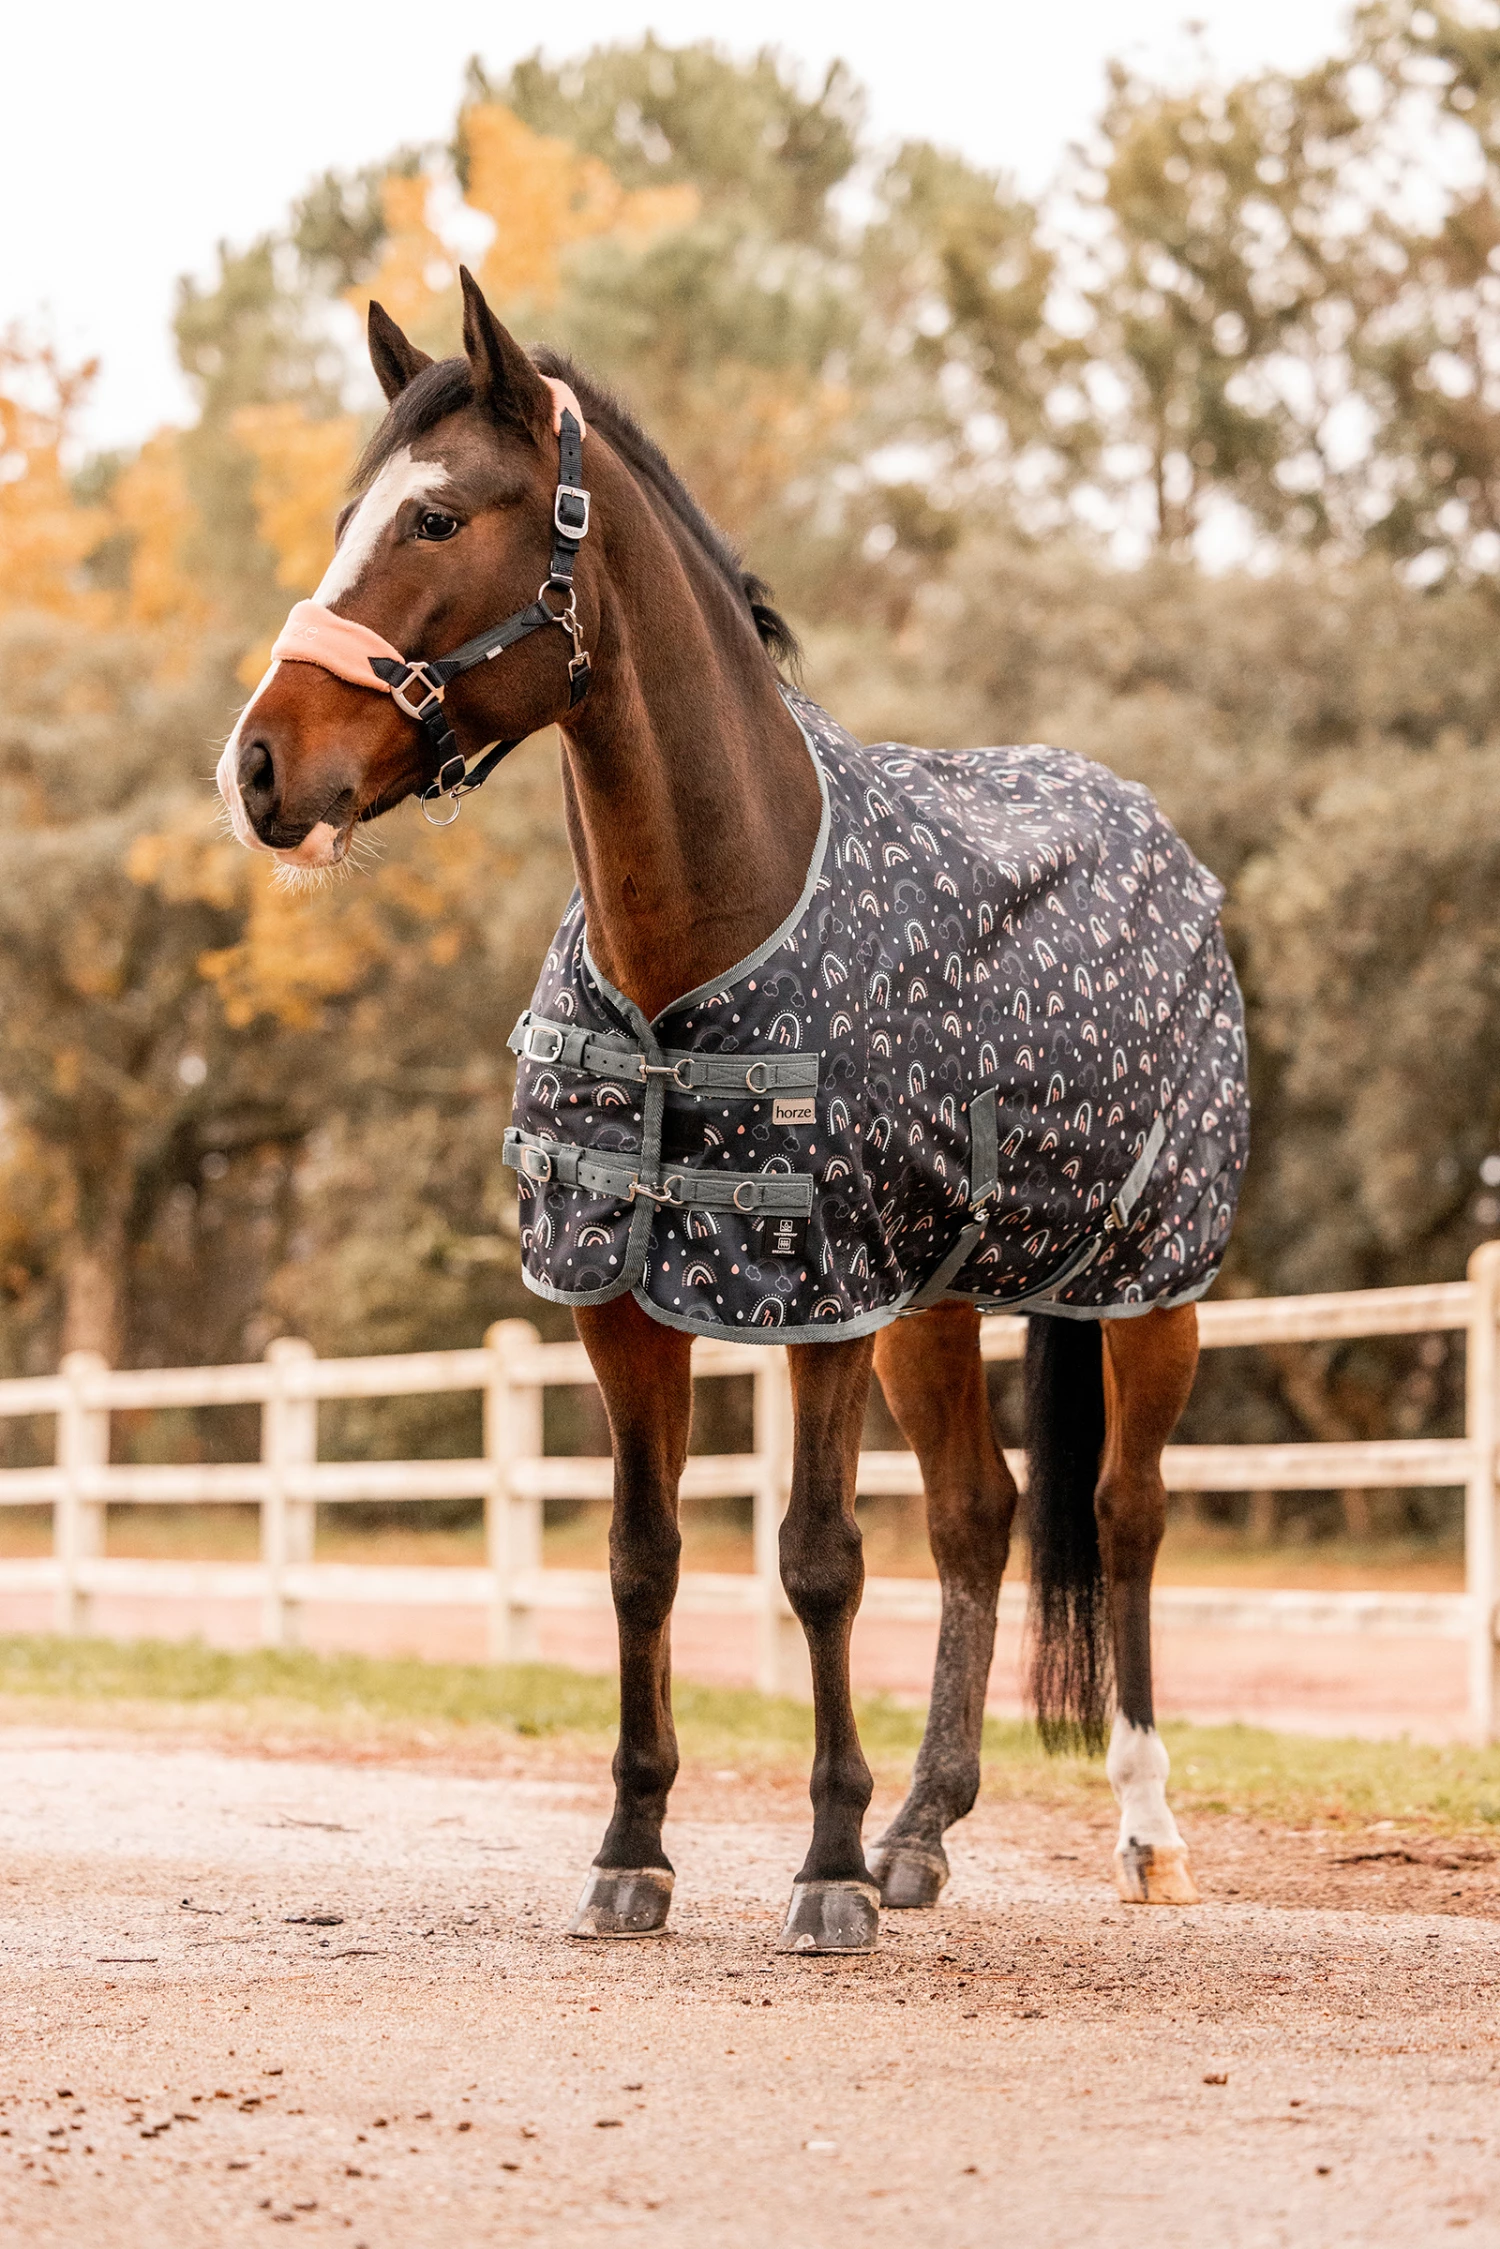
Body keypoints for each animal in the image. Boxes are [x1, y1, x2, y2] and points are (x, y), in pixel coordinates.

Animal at [217, 268, 1248, 1953]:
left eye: (436, 517)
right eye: (347, 515)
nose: (259, 768)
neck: (703, 932)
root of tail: (1147, 827)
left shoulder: (815, 1296)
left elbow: (819, 1561)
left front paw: (822, 1869)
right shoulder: (623, 1298)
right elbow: (642, 1560)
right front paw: (636, 1849)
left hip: (1147, 1286)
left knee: (1127, 1511)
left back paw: (1143, 1833)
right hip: (930, 1310)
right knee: (979, 1518)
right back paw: (922, 1834)